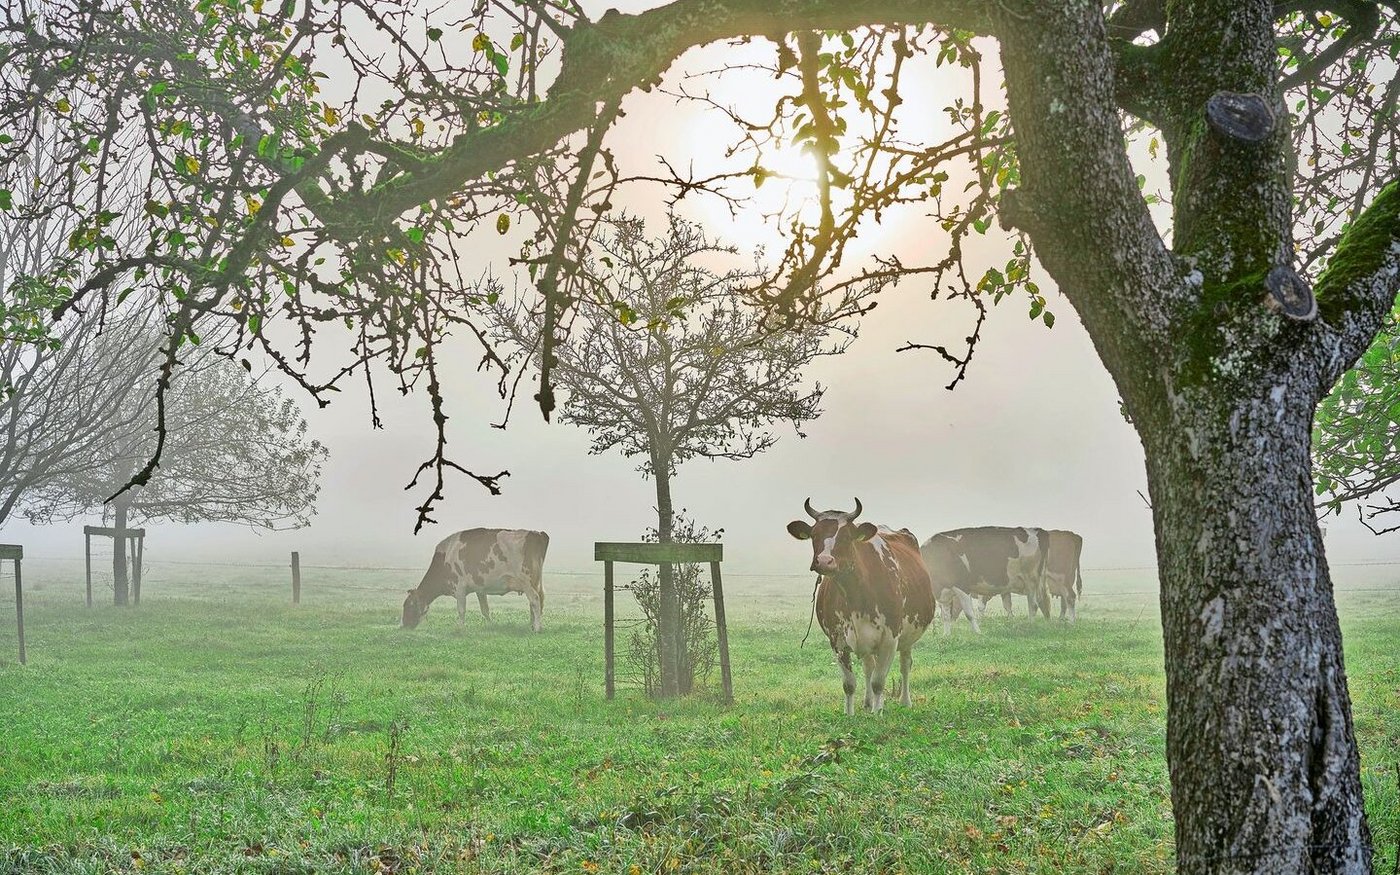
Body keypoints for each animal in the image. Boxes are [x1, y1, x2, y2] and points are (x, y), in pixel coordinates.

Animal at [400, 529, 549, 631]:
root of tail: (537, 533)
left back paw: (537, 628)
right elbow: (485, 609)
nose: (403, 626)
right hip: (536, 582)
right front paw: (491, 625)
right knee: (537, 601)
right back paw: (532, 625)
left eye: (409, 606)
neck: (445, 558)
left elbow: (461, 609)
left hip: (527, 581)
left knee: (535, 600)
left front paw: (460, 628)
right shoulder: (480, 589)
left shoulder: (459, 587)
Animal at [786, 498, 935, 715]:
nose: (824, 561)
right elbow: (849, 683)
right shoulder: (837, 640)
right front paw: (850, 714)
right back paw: (867, 702)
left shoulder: (889, 639)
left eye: (847, 537)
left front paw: (878, 713)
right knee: (868, 666)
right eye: (814, 534)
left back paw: (904, 701)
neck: (854, 595)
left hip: (908, 637)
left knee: (905, 664)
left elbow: (879, 682)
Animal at [920, 526, 1052, 623]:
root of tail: (1037, 530)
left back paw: (1030, 624)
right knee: (1042, 601)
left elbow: (979, 607)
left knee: (1033, 604)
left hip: (1031, 579)